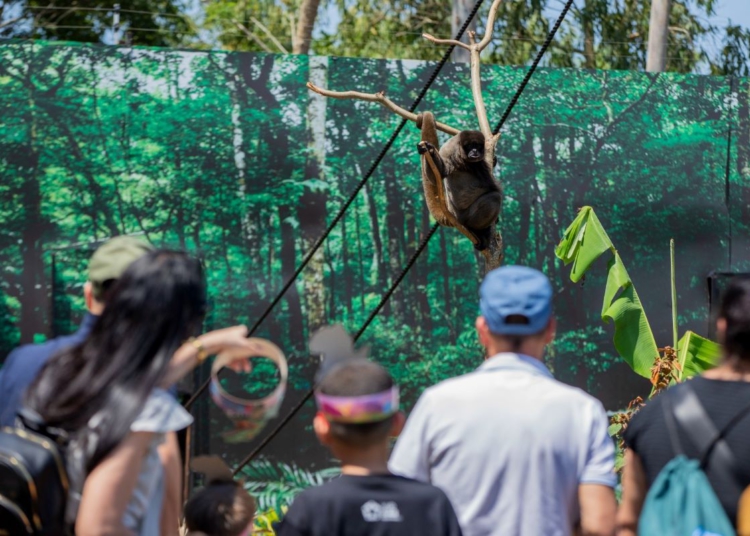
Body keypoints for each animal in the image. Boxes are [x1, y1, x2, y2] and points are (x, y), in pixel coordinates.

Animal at [418, 113, 506, 251]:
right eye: (470, 146)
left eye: (477, 146)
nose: (474, 151)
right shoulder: (448, 149)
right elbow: (439, 173)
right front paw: (430, 151)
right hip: (465, 217)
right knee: (495, 197)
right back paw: (477, 231)